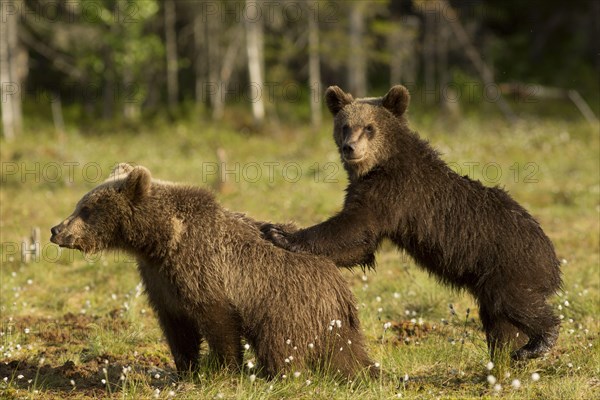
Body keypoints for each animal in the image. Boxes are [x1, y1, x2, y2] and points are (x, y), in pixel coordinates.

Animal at [52, 162, 380, 378]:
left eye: (86, 209)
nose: (56, 230)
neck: (160, 242)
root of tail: (340, 290)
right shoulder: (160, 280)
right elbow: (177, 327)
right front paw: (186, 369)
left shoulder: (202, 269)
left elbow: (218, 320)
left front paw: (226, 370)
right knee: (345, 353)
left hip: (286, 306)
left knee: (280, 346)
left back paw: (277, 375)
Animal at [262, 86, 564, 360]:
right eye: (345, 126)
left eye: (369, 128)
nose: (350, 148)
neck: (379, 164)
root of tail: (552, 257)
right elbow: (360, 245)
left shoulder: (394, 192)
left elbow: (353, 228)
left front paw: (279, 233)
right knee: (500, 319)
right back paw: (508, 352)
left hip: (508, 265)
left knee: (515, 301)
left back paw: (538, 342)